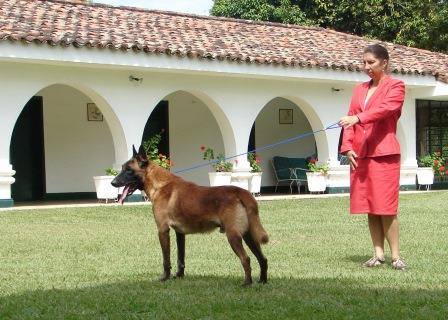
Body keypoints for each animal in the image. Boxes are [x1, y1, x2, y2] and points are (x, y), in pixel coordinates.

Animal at [110, 146, 268, 284]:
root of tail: (240, 191)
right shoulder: (180, 233)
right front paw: (179, 276)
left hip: (233, 236)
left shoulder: (162, 230)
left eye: (129, 170)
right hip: (249, 235)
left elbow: (166, 259)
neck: (160, 185)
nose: (112, 182)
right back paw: (262, 281)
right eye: (122, 168)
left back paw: (247, 283)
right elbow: (181, 258)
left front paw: (165, 278)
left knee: (246, 259)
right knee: (263, 259)